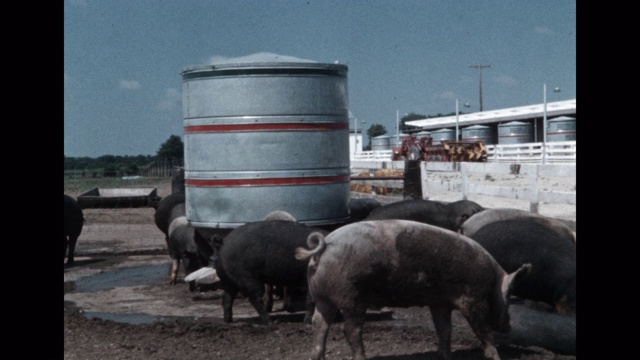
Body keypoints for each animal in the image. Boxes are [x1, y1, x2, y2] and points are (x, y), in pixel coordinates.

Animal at [296, 219, 528, 360]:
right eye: (509, 296)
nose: (510, 326)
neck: (493, 282)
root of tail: (324, 246)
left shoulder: (439, 303)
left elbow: (444, 329)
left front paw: (445, 356)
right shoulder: (472, 300)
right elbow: (482, 330)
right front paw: (496, 356)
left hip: (323, 298)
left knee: (319, 324)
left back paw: (316, 357)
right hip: (351, 296)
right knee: (350, 330)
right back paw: (361, 357)